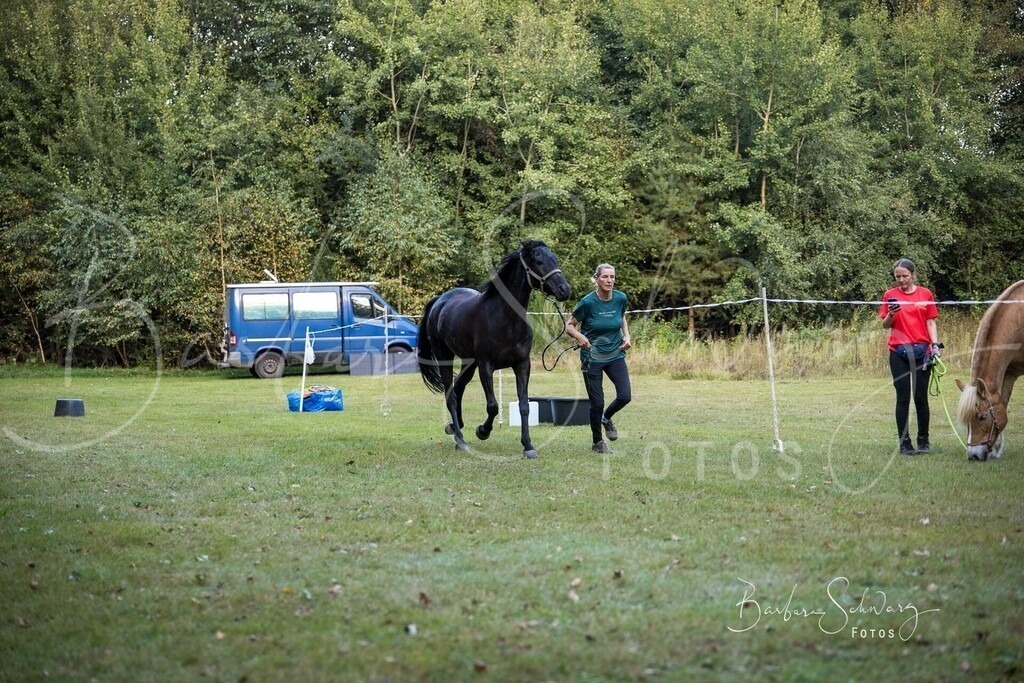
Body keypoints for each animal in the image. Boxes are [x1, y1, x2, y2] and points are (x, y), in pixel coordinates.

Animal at [417, 240, 572, 458]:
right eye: (539, 261)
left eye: (555, 259)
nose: (564, 290)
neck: (506, 318)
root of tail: (439, 301)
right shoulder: (486, 366)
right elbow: (493, 406)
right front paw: (482, 431)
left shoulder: (522, 365)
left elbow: (524, 406)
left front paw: (528, 446)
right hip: (445, 357)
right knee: (451, 395)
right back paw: (460, 440)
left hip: (468, 362)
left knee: (458, 386)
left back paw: (455, 427)